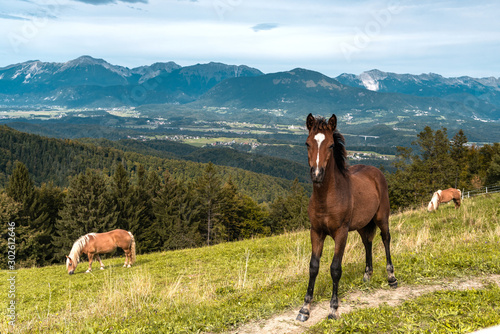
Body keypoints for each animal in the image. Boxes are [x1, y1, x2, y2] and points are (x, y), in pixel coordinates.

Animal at [296, 114, 398, 320]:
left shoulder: (341, 233)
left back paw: (391, 278)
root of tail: (376, 172)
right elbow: (313, 266)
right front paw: (305, 308)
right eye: (307, 143)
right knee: (368, 242)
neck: (327, 198)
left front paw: (333, 308)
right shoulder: (316, 232)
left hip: (382, 217)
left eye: (331, 145)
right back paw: (367, 276)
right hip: (362, 225)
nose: (317, 174)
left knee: (385, 239)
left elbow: (335, 268)